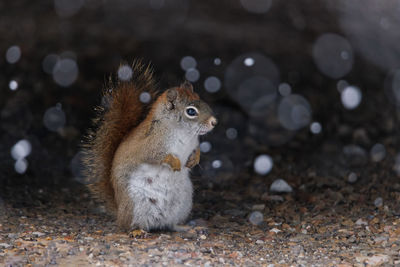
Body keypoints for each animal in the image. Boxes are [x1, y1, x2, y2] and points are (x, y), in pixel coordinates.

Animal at [82, 61, 217, 232]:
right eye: (191, 112)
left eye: (201, 99)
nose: (214, 122)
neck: (184, 132)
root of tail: (119, 211)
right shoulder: (151, 143)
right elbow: (155, 156)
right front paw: (174, 162)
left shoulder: (194, 143)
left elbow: (196, 150)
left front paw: (194, 159)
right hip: (134, 204)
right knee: (129, 225)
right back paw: (137, 231)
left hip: (183, 203)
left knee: (170, 223)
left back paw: (185, 227)